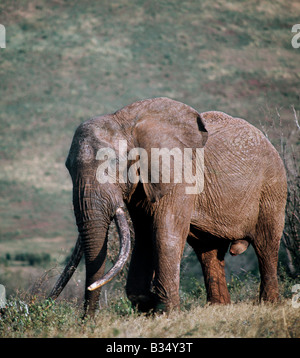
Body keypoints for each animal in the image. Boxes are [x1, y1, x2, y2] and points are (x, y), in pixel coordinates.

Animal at [48, 96, 288, 316]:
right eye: (68, 168)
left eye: (113, 163)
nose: (87, 322)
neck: (126, 123)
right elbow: (145, 235)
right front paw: (146, 305)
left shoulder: (181, 177)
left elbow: (165, 233)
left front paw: (167, 313)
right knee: (208, 253)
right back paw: (218, 309)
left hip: (272, 187)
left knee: (266, 244)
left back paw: (269, 305)